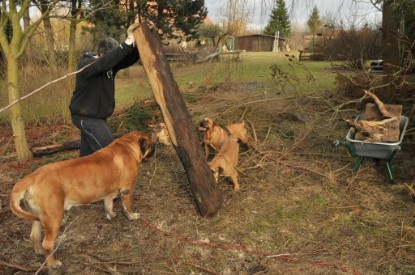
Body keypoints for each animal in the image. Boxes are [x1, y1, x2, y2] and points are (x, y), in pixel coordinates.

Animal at [9, 132, 156, 270]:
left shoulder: (108, 192)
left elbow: (108, 204)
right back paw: (53, 263)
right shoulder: (127, 189)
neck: (127, 146)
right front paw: (132, 216)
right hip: (53, 217)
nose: (155, 145)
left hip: (36, 216)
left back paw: (39, 252)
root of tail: (32, 177)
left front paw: (111, 214)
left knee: (34, 235)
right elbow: (127, 205)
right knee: (47, 244)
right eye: (150, 143)